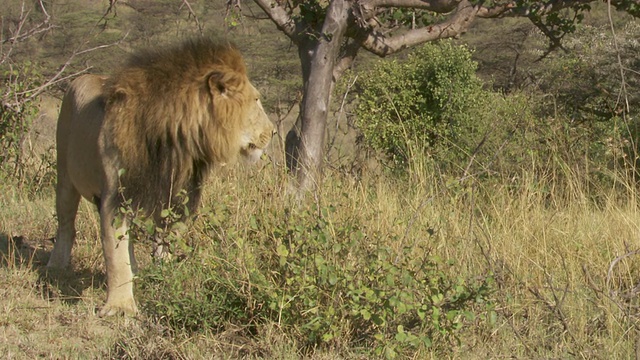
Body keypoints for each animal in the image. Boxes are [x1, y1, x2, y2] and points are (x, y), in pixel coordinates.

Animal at [45, 38, 276, 316]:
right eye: (256, 99)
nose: (274, 132)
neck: (177, 144)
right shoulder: (115, 199)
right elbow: (115, 255)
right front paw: (120, 306)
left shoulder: (176, 196)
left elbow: (165, 242)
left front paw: (165, 278)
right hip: (65, 176)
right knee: (66, 224)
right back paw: (57, 265)